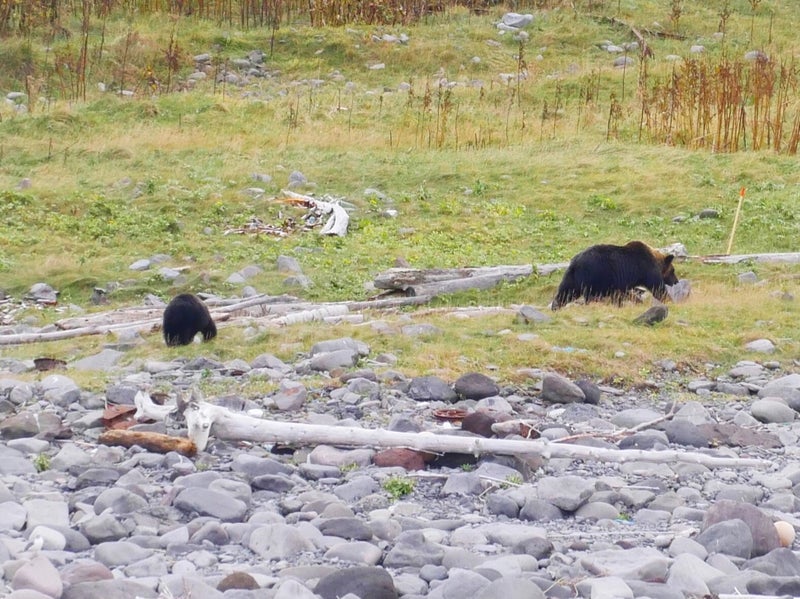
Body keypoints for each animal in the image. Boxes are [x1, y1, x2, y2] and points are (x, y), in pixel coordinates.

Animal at [552, 241, 680, 312]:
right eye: (673, 270)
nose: (676, 281)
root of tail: (575, 263)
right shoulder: (646, 268)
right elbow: (657, 288)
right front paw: (670, 301)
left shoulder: (619, 282)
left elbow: (621, 293)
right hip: (595, 275)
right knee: (591, 296)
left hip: (573, 277)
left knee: (566, 292)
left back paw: (555, 306)